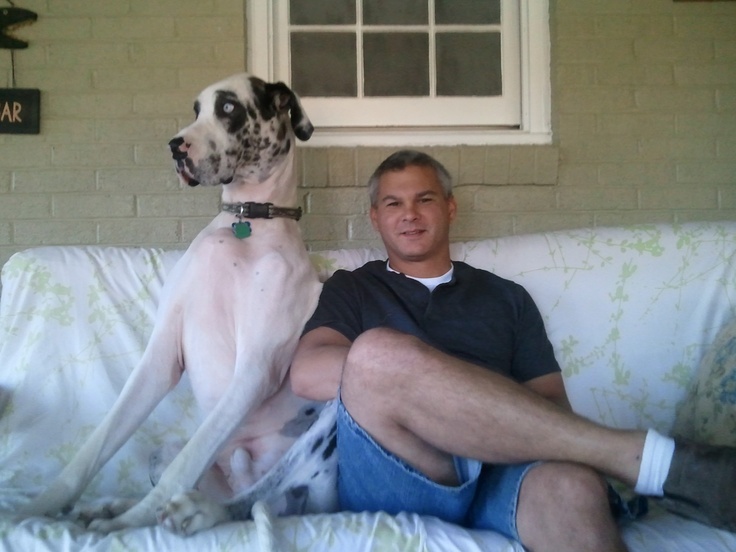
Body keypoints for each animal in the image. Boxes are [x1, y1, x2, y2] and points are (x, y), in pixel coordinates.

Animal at [19, 72, 336, 532]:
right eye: (196, 109)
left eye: (228, 108)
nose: (174, 146)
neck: (246, 225)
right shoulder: (161, 356)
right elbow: (95, 446)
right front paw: (32, 510)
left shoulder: (255, 370)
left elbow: (182, 468)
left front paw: (129, 524)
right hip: (165, 451)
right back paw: (108, 505)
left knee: (265, 498)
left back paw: (184, 513)